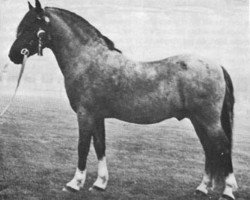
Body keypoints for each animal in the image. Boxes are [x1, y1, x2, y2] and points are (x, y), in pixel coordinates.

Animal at [8, 0, 238, 199]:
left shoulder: (85, 115)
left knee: (223, 147)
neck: (88, 60)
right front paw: (99, 183)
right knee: (210, 150)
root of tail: (217, 65)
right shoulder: (97, 117)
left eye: (31, 26)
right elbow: (100, 146)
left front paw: (74, 183)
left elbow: (82, 147)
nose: (13, 55)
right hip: (198, 121)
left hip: (208, 121)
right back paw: (202, 188)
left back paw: (228, 190)